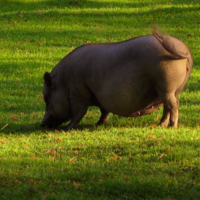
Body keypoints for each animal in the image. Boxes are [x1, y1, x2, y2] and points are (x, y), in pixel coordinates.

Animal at [40, 27, 192, 130]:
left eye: (47, 99)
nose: (41, 123)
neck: (63, 83)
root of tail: (184, 50)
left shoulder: (79, 95)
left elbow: (78, 114)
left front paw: (66, 129)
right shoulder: (99, 96)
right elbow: (104, 110)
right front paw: (98, 124)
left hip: (166, 87)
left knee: (173, 105)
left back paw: (172, 126)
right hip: (172, 90)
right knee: (168, 106)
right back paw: (161, 125)